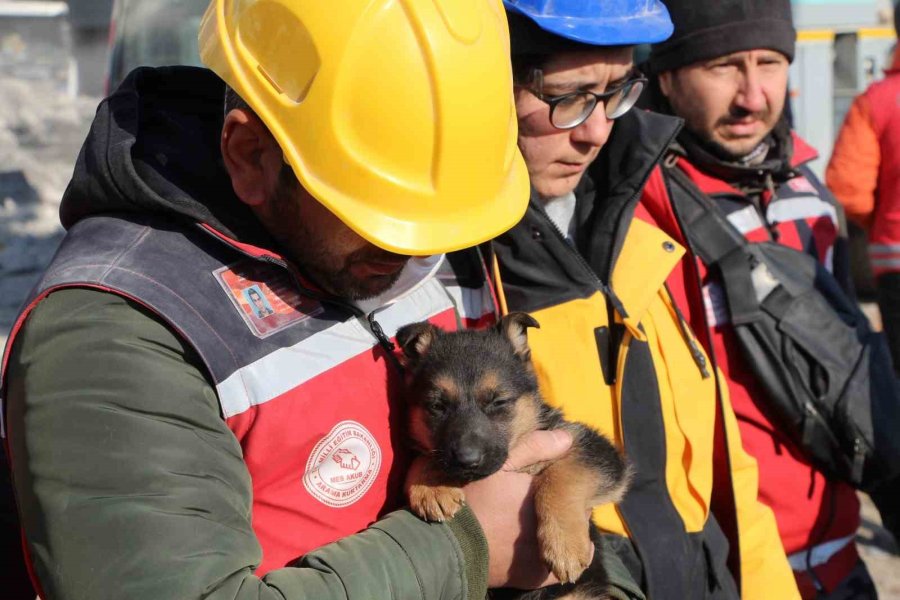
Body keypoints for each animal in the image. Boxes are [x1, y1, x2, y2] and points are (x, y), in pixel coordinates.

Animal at [398, 312, 628, 596]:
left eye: (499, 402)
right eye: (437, 406)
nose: (467, 460)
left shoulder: (592, 448)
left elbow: (562, 474)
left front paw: (564, 546)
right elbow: (423, 456)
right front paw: (431, 487)